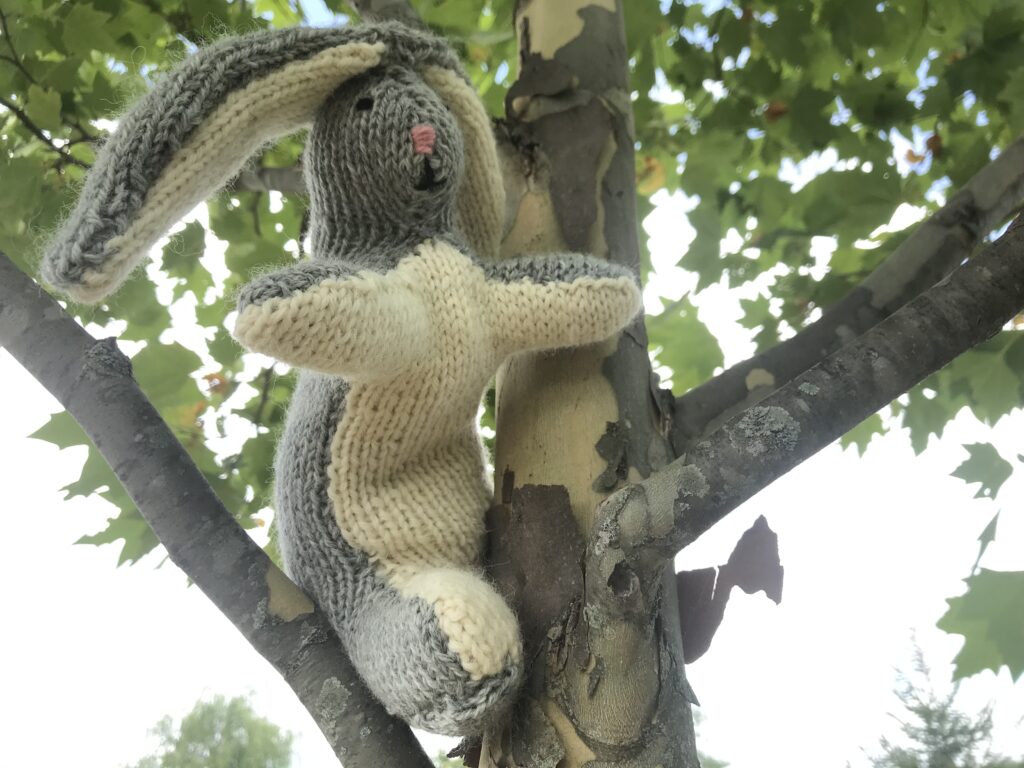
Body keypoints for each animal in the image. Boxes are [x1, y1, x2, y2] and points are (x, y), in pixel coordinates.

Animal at [44, 24, 643, 737]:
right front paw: (268, 304)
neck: (414, 242)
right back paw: (472, 666)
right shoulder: (382, 297)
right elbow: (324, 311)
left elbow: (563, 290)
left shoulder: (496, 293)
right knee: (432, 627)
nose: (424, 136)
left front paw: (620, 290)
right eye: (364, 104)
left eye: (423, 97)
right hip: (372, 583)